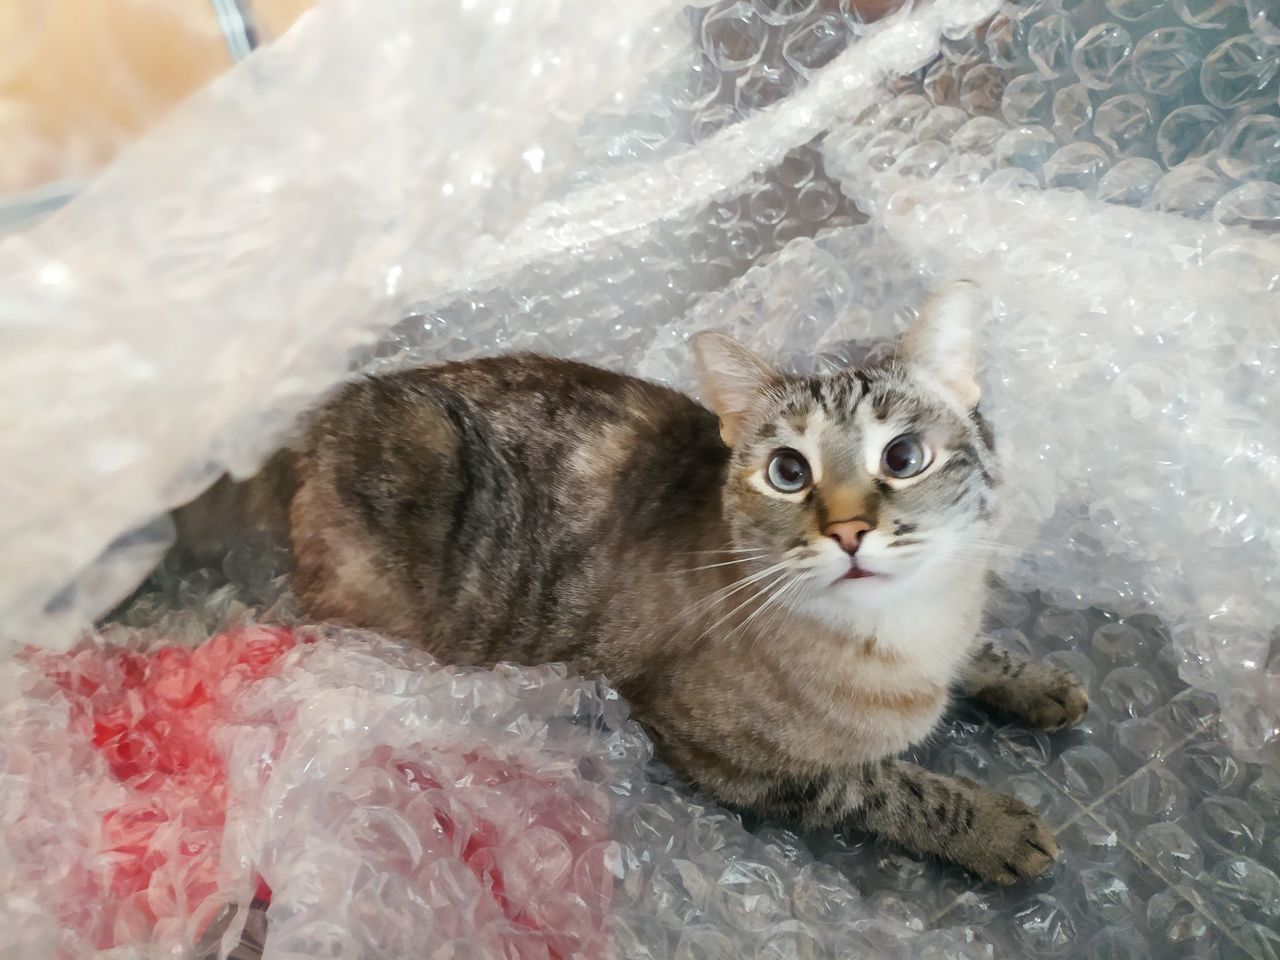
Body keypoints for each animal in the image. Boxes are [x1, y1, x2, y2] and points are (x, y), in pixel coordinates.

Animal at [175, 280, 1085, 885]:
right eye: (789, 472)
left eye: (903, 456)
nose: (849, 531)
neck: (910, 636)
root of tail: (314, 423)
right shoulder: (726, 757)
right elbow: (889, 786)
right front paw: (999, 827)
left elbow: (986, 654)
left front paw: (1039, 682)